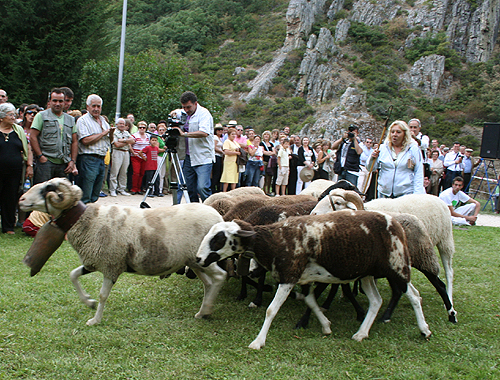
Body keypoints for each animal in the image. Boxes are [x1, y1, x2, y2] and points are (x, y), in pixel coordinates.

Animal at [19, 177, 227, 326]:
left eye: (48, 189)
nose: (21, 199)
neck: (90, 221)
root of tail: (218, 217)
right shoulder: (93, 262)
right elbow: (73, 275)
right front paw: (88, 302)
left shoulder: (111, 265)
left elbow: (103, 295)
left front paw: (95, 320)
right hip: (194, 261)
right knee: (208, 283)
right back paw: (203, 312)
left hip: (206, 257)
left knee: (220, 277)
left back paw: (207, 309)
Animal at [195, 212, 430, 348]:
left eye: (219, 238)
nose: (198, 258)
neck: (273, 241)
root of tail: (396, 223)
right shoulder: (304, 279)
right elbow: (310, 301)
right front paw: (326, 326)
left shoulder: (289, 275)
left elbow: (271, 310)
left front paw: (258, 341)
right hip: (366, 273)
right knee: (376, 300)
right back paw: (361, 333)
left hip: (396, 264)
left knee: (414, 295)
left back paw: (424, 330)